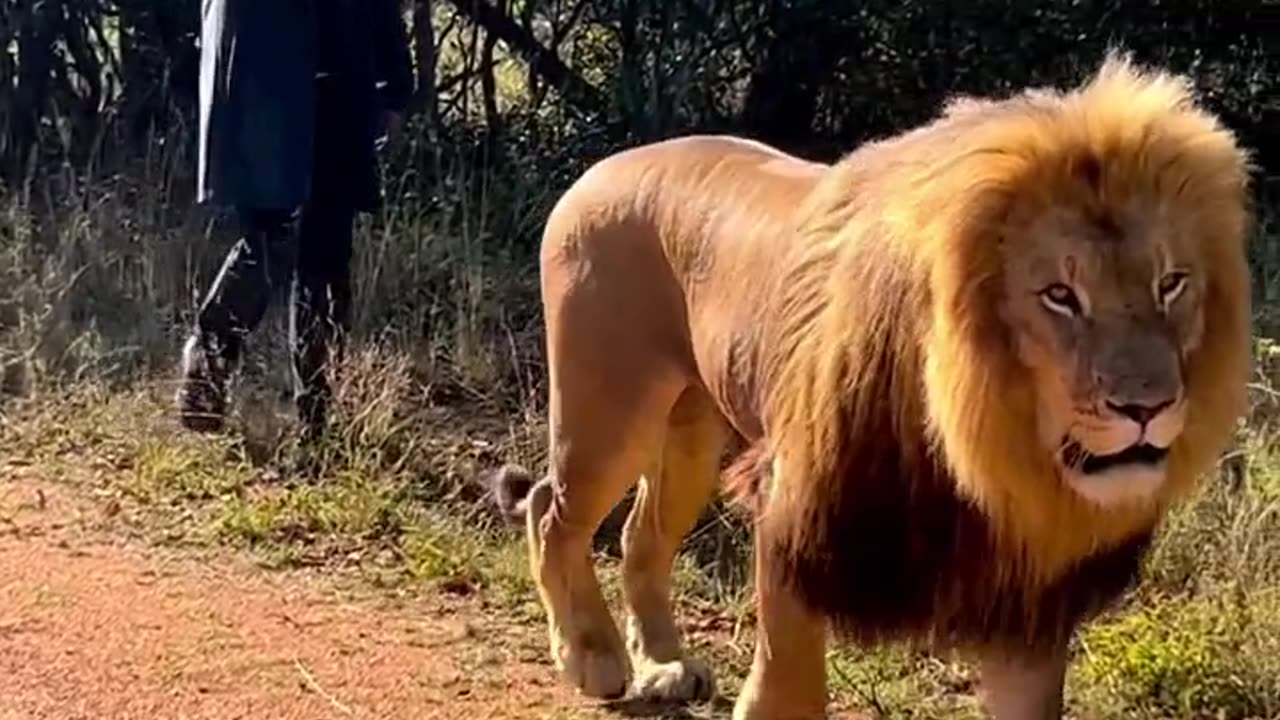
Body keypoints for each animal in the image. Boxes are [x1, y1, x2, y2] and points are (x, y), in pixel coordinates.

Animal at [488, 51, 1249, 717]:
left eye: (1171, 284)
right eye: (1060, 296)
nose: (1149, 407)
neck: (982, 441)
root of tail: (602, 167)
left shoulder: (1025, 590)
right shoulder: (795, 502)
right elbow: (789, 684)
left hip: (690, 430)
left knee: (641, 533)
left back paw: (665, 665)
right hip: (609, 410)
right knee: (551, 509)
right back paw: (593, 658)